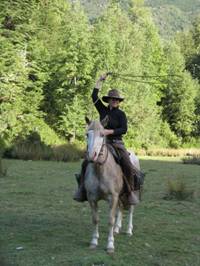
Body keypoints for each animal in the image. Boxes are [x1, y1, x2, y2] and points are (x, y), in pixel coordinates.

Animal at [83, 117, 140, 254]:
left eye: (102, 135)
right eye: (87, 134)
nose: (92, 156)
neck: (101, 170)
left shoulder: (113, 197)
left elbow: (110, 220)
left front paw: (110, 245)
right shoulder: (92, 198)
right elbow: (95, 219)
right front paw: (94, 241)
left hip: (132, 193)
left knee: (130, 209)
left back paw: (129, 230)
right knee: (121, 208)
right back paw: (117, 229)